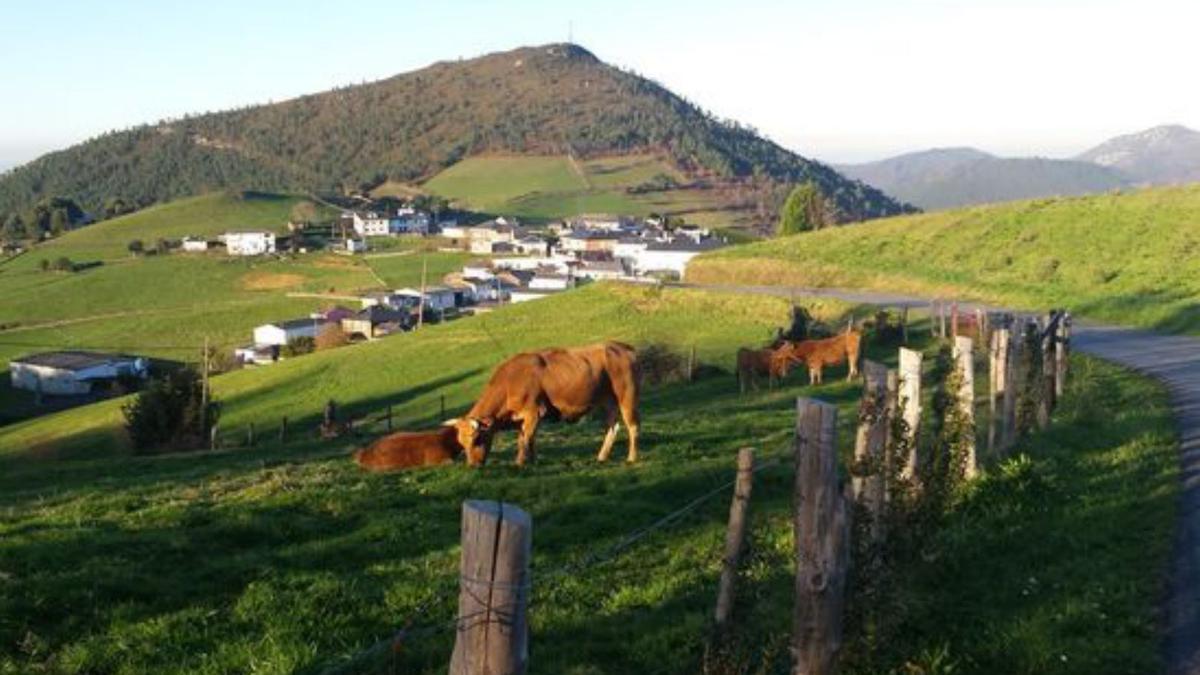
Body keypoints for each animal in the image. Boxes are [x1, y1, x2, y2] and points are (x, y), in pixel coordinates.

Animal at [451, 338, 643, 466]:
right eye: (462, 444)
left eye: (477, 440)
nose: (473, 466)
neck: (508, 383)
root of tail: (622, 347)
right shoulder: (522, 419)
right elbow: (526, 439)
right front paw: (532, 461)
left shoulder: (534, 412)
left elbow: (526, 440)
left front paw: (520, 464)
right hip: (607, 401)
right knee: (612, 426)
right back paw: (602, 457)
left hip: (627, 396)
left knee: (633, 426)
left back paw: (631, 458)